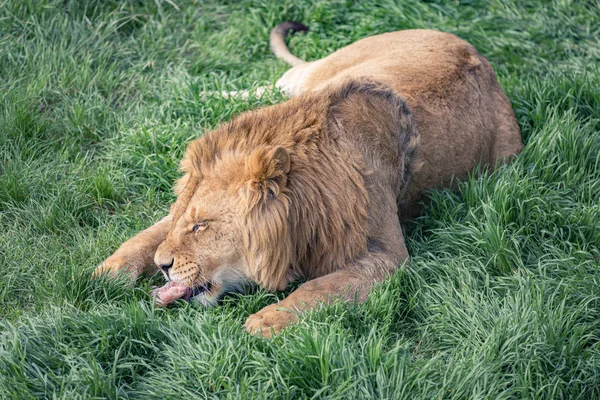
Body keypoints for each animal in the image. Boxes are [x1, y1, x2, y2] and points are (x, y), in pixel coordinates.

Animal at [91, 21, 524, 334]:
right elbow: (150, 233)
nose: (163, 266)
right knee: (274, 81)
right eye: (188, 220)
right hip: (319, 73)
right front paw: (109, 271)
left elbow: (321, 288)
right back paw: (197, 95)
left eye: (202, 226)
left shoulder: (388, 255)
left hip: (507, 159)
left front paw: (266, 321)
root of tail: (476, 52)